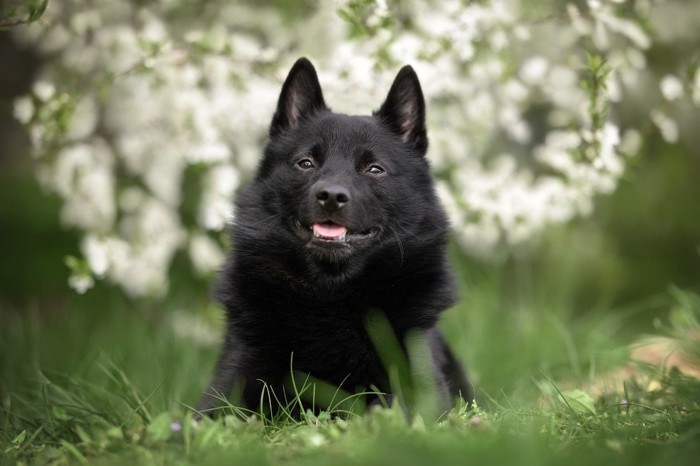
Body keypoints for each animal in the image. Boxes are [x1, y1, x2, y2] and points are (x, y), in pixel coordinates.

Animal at [194, 56, 474, 416]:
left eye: (374, 169)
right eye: (306, 163)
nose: (331, 196)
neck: (331, 292)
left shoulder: (421, 388)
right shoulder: (230, 384)